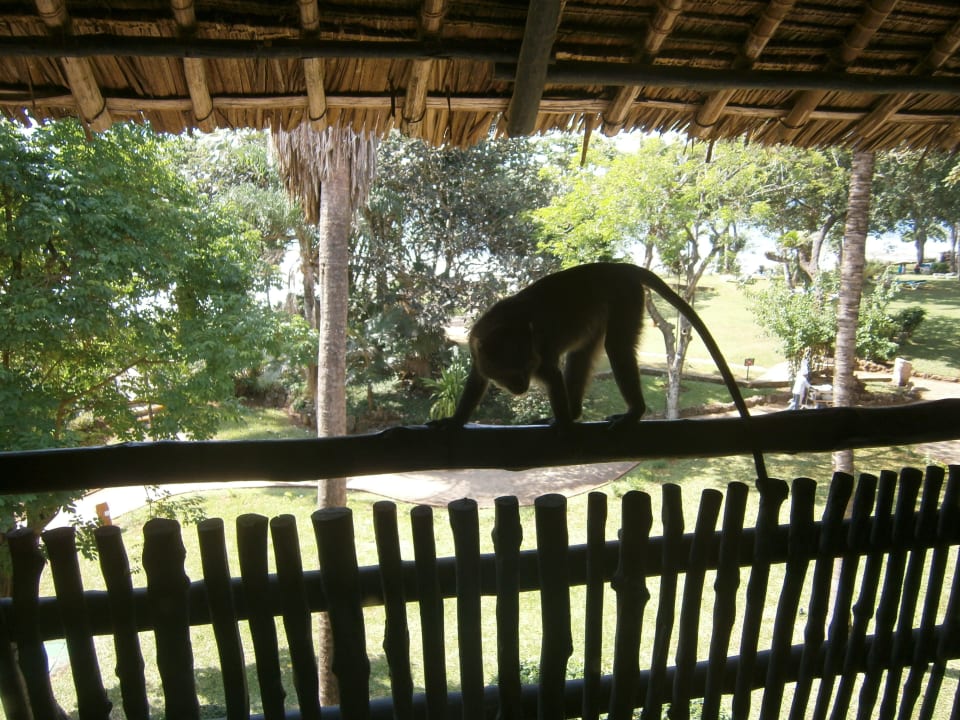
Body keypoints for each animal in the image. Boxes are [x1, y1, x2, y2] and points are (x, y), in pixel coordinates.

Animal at [433, 262, 769, 486]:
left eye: (525, 369)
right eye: (511, 373)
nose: (522, 387)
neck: (502, 324)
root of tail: (617, 266)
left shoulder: (538, 353)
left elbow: (552, 374)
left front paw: (565, 426)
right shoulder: (477, 347)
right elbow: (477, 380)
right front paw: (456, 421)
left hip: (626, 296)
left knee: (616, 346)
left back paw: (630, 412)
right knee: (583, 354)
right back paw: (577, 411)